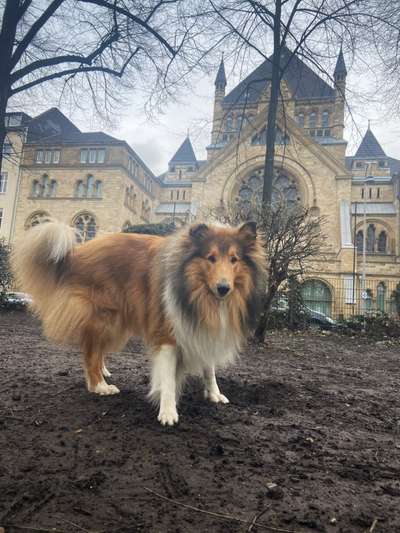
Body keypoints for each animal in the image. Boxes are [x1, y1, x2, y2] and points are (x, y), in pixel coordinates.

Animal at [11, 219, 266, 424]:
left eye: (234, 259)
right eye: (210, 258)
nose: (223, 288)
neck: (200, 295)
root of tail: (74, 253)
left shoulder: (202, 328)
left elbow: (209, 368)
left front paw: (214, 394)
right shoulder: (167, 332)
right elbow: (168, 377)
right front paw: (168, 411)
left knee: (97, 349)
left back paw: (103, 372)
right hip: (104, 318)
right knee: (90, 352)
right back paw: (99, 385)